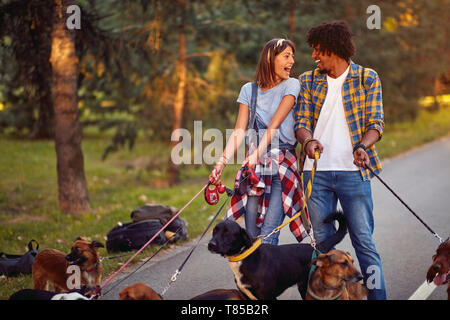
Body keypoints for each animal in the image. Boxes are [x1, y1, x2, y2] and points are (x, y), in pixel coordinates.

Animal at [208, 212, 348, 300]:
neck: (243, 258)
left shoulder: (268, 297)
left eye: (227, 233)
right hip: (303, 286)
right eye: (215, 231)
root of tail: (318, 247)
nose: (210, 244)